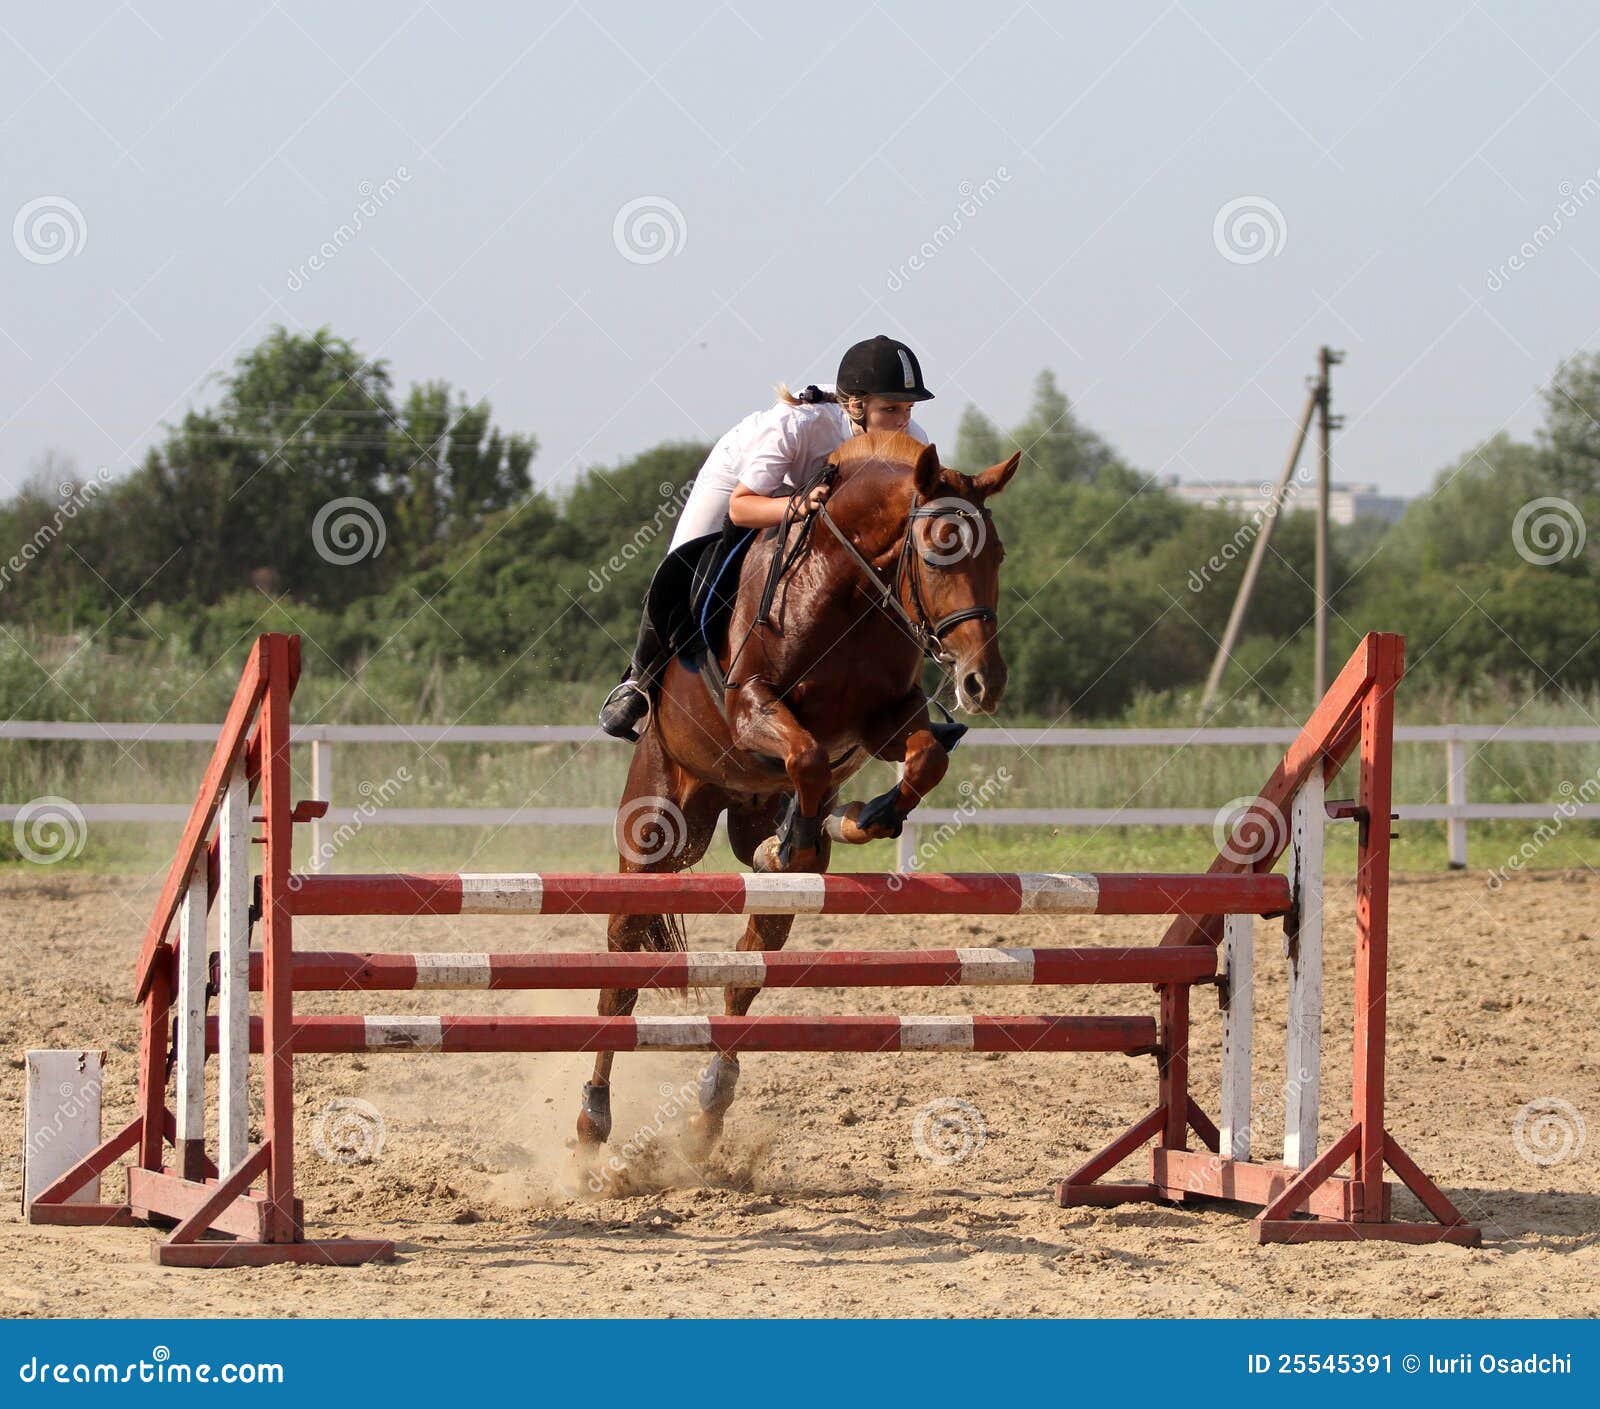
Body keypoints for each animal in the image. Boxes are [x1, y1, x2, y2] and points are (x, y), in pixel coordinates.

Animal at [582, 431, 1017, 1151]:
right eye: (940, 544)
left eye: (999, 554)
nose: (985, 682)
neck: (849, 591)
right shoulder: (753, 706)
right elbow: (809, 757)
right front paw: (808, 836)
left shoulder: (884, 720)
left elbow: (924, 759)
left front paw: (861, 818)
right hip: (654, 829)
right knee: (622, 972)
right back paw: (594, 1116)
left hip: (744, 833)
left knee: (747, 967)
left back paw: (711, 1103)